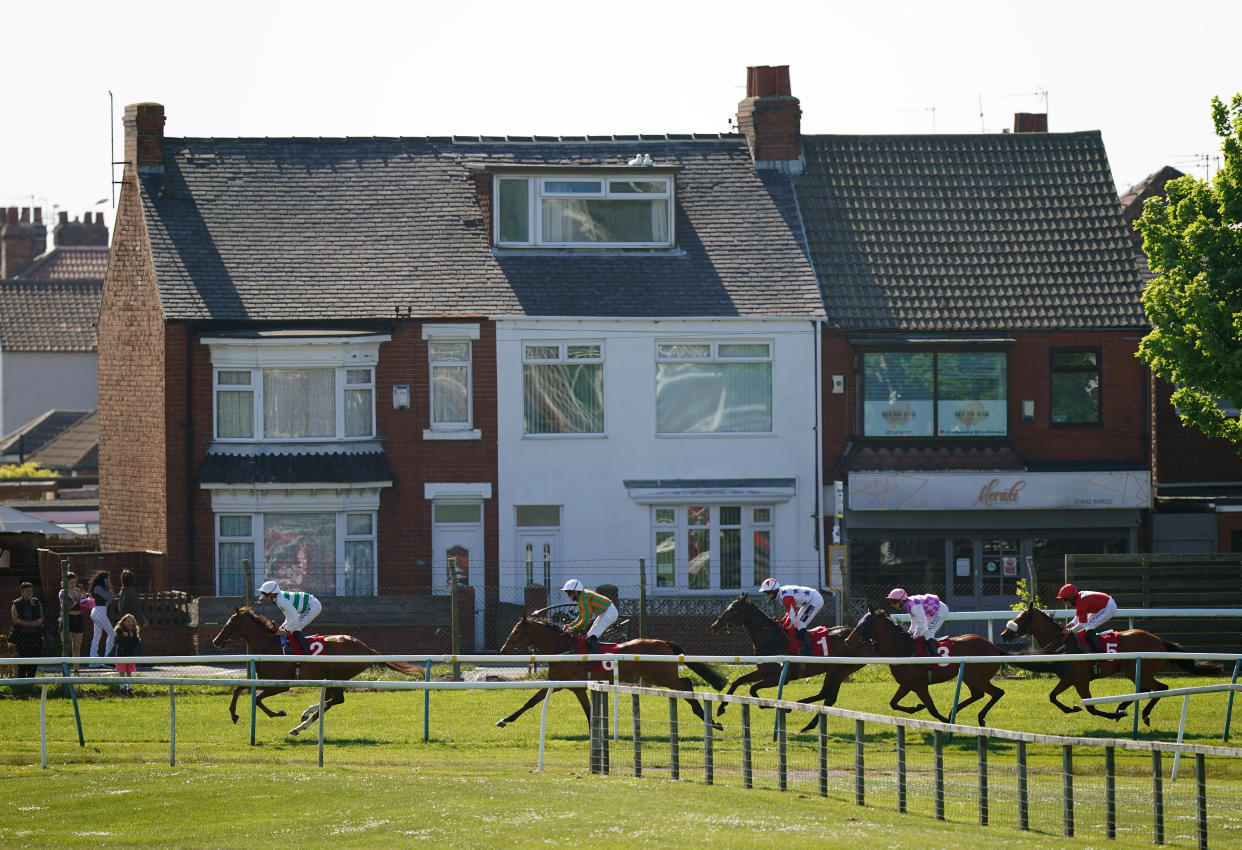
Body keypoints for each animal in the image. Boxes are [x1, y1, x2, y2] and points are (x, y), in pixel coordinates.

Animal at [209, 603, 422, 735]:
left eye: (230, 623)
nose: (215, 641)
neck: (269, 646)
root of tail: (366, 648)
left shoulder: (282, 685)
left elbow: (258, 699)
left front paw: (279, 713)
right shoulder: (263, 679)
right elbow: (239, 688)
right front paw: (234, 714)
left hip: (338, 674)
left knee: (336, 700)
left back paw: (300, 726)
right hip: (331, 677)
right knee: (332, 700)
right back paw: (306, 715)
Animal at [494, 616, 725, 730]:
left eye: (516, 631)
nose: (502, 649)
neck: (563, 648)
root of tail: (665, 642)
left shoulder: (559, 682)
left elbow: (530, 702)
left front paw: (504, 719)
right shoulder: (574, 687)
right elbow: (587, 710)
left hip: (663, 675)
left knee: (686, 685)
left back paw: (710, 720)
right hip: (654, 676)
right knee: (685, 683)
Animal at [710, 594, 874, 735]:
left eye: (733, 609)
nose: (714, 625)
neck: (772, 638)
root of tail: (865, 640)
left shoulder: (780, 677)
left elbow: (752, 688)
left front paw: (767, 705)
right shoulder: (763, 671)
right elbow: (738, 681)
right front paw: (721, 708)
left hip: (837, 669)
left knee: (826, 694)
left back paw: (796, 710)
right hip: (839, 671)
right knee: (829, 697)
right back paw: (806, 725)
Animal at [844, 611, 1008, 725]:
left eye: (863, 624)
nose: (847, 640)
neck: (904, 650)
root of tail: (994, 647)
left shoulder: (920, 686)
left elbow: (932, 709)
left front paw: (945, 722)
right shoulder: (906, 684)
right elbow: (893, 703)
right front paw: (916, 707)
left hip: (976, 678)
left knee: (997, 692)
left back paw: (978, 717)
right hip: (972, 678)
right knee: (978, 694)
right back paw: (955, 713)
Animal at [993, 603, 1217, 725]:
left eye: (1020, 618)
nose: (1004, 634)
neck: (1062, 643)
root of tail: (1159, 640)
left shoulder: (1079, 680)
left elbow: (1090, 707)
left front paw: (1107, 714)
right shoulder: (1069, 679)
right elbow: (1052, 697)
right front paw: (1073, 709)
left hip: (1139, 670)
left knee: (1160, 688)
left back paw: (1141, 714)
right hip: (1135, 671)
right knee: (1146, 689)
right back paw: (1124, 706)